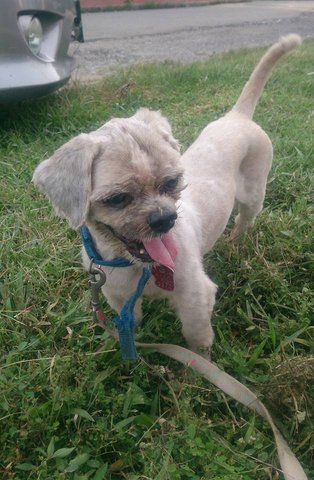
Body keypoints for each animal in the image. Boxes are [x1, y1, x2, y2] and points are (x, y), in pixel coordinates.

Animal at [33, 34, 300, 356]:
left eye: (172, 183)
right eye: (117, 199)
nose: (165, 218)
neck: (136, 266)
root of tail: (238, 116)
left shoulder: (197, 296)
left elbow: (196, 338)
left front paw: (197, 366)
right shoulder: (117, 296)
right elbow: (129, 323)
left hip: (253, 194)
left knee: (245, 218)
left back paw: (235, 241)